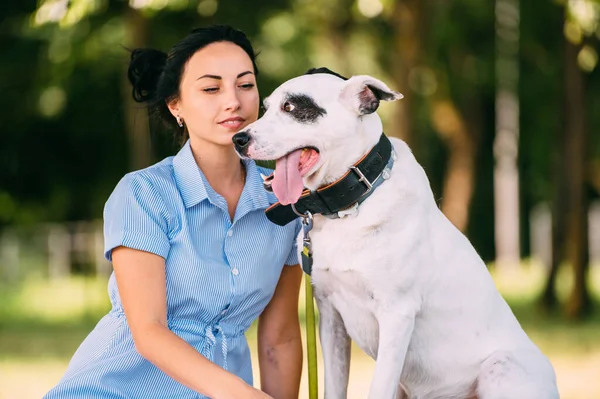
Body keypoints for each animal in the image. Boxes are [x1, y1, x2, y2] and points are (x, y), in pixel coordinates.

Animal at [233, 69, 556, 399]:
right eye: (265, 108)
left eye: (292, 107)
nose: (239, 139)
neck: (350, 204)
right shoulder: (330, 317)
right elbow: (333, 386)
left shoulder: (396, 315)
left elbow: (378, 387)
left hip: (500, 368)